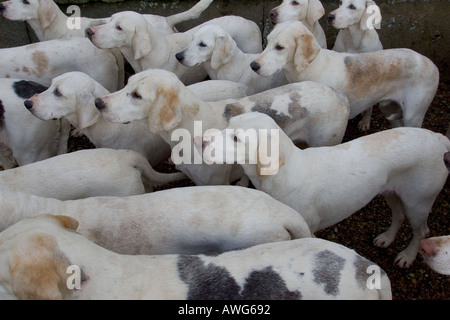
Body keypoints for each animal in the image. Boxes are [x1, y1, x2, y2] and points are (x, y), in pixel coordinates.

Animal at [251, 20, 442, 129]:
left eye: (280, 47)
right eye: (267, 41)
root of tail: (430, 62)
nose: (253, 65)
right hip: (387, 107)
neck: (311, 68)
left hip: (413, 116)